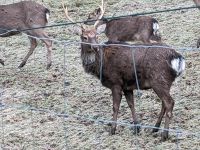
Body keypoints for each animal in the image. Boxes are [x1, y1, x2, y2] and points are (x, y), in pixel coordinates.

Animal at [62, 2, 186, 141]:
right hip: (164, 82)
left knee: (169, 102)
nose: (95, 47)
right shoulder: (127, 85)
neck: (101, 65)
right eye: (84, 37)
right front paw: (137, 127)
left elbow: (115, 106)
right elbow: (131, 104)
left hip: (159, 79)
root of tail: (178, 58)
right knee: (164, 103)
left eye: (96, 35)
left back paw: (164, 134)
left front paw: (112, 129)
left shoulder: (115, 82)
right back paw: (155, 128)